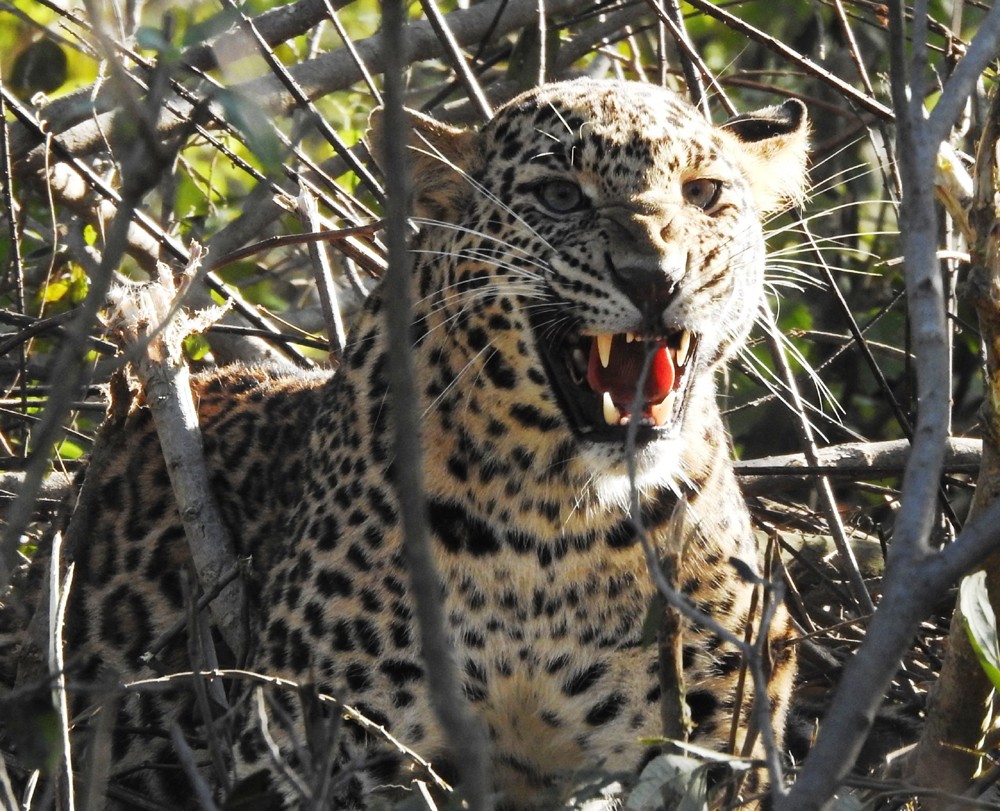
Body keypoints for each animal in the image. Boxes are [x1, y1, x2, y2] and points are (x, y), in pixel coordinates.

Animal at [3, 77, 808, 811]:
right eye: (560, 196)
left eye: (704, 193)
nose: (654, 279)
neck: (557, 523)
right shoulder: (325, 748)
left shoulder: (713, 741)